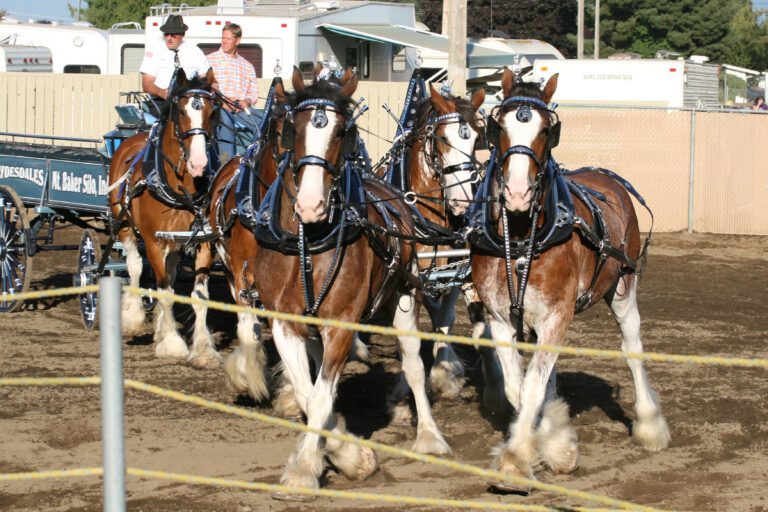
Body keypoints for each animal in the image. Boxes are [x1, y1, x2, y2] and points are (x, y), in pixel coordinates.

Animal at [106, 70, 219, 366]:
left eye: (213, 112)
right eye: (181, 111)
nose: (199, 163)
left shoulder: (203, 242)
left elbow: (200, 296)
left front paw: (203, 350)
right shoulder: (153, 242)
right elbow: (165, 292)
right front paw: (172, 345)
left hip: (175, 243)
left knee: (170, 270)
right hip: (124, 226)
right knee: (134, 266)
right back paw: (133, 318)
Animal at [472, 69, 668, 492]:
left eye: (547, 130)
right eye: (499, 126)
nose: (516, 193)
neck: (523, 234)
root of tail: (606, 176)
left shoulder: (556, 315)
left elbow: (531, 385)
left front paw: (515, 462)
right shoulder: (500, 318)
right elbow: (518, 387)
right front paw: (551, 443)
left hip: (623, 287)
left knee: (632, 348)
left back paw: (650, 426)